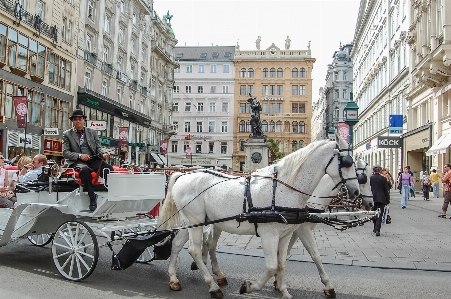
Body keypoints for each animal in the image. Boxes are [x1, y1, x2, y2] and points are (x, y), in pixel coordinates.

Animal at [159, 137, 360, 299]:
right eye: (347, 162)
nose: (356, 192)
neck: (284, 188)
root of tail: (183, 175)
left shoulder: (286, 234)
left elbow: (282, 263)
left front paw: (284, 290)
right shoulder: (269, 234)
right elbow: (272, 266)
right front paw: (249, 287)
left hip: (191, 222)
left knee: (177, 244)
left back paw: (174, 279)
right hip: (195, 222)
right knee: (194, 249)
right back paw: (213, 286)